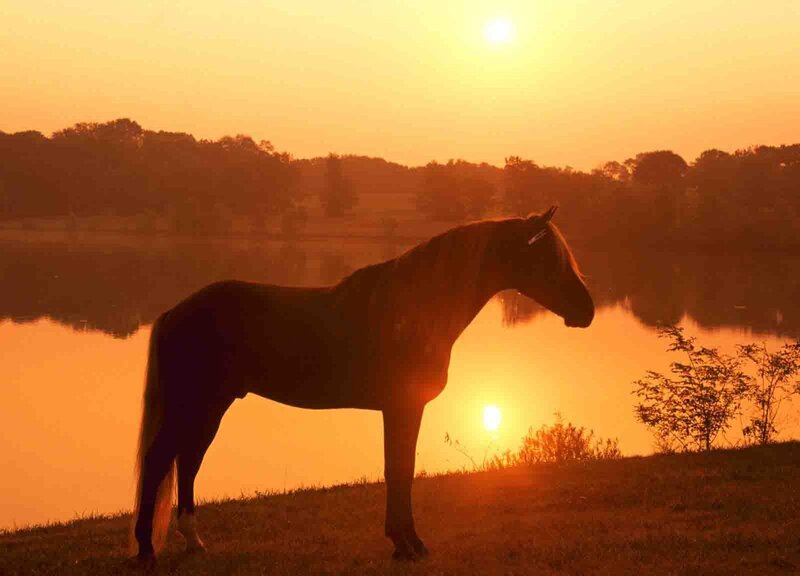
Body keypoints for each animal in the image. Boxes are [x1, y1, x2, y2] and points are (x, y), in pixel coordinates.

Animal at [130, 206, 594, 564]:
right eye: (548, 258)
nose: (586, 310)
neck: (416, 309)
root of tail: (175, 311)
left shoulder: (403, 408)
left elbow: (400, 470)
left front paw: (404, 543)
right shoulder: (403, 407)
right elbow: (399, 470)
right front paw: (409, 544)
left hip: (211, 406)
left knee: (187, 462)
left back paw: (194, 542)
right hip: (191, 405)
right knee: (159, 461)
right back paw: (147, 550)